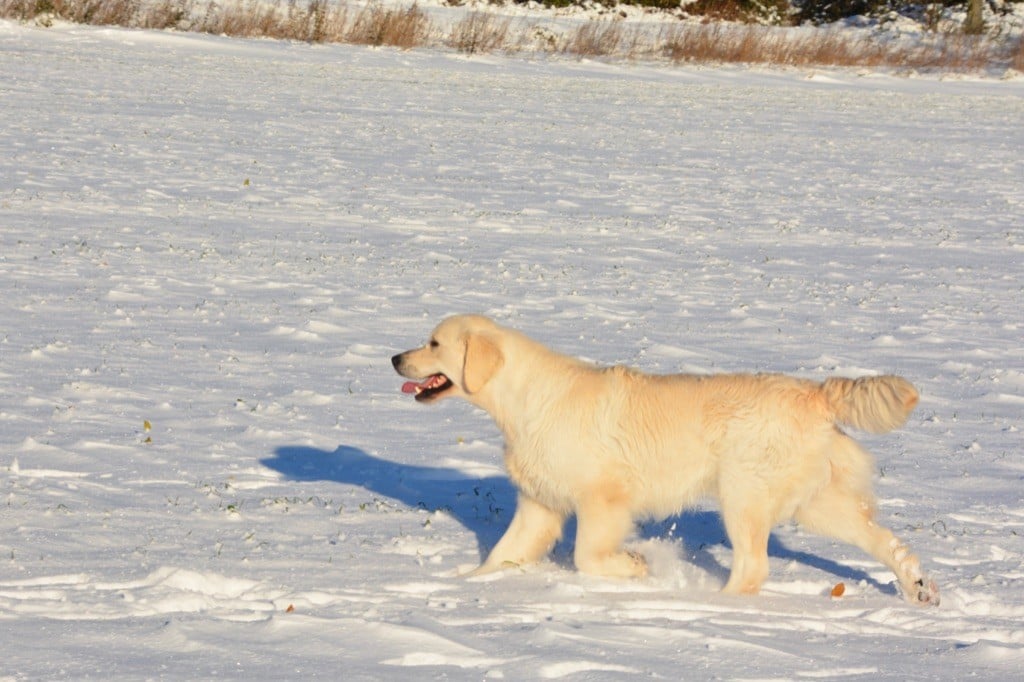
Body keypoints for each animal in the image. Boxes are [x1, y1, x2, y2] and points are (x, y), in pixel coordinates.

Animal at [391, 311, 942, 602]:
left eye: (434, 343)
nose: (395, 357)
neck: (526, 398)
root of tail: (815, 392)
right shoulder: (538, 505)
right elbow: (500, 557)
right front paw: (465, 586)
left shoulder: (603, 498)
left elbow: (588, 556)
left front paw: (636, 566)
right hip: (814, 503)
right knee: (884, 540)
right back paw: (918, 586)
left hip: (742, 495)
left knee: (752, 568)